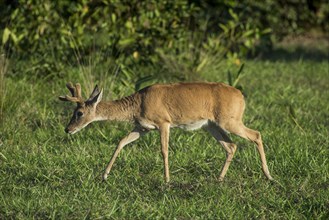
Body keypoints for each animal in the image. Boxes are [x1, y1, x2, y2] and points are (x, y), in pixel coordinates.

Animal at [58, 81, 272, 181]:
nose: (67, 129)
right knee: (231, 146)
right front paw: (104, 175)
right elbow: (121, 142)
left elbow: (164, 150)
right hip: (213, 125)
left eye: (79, 113)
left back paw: (268, 175)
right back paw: (219, 178)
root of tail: (241, 96)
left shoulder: (164, 122)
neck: (138, 104)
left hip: (229, 121)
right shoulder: (142, 127)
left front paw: (167, 180)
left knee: (256, 135)